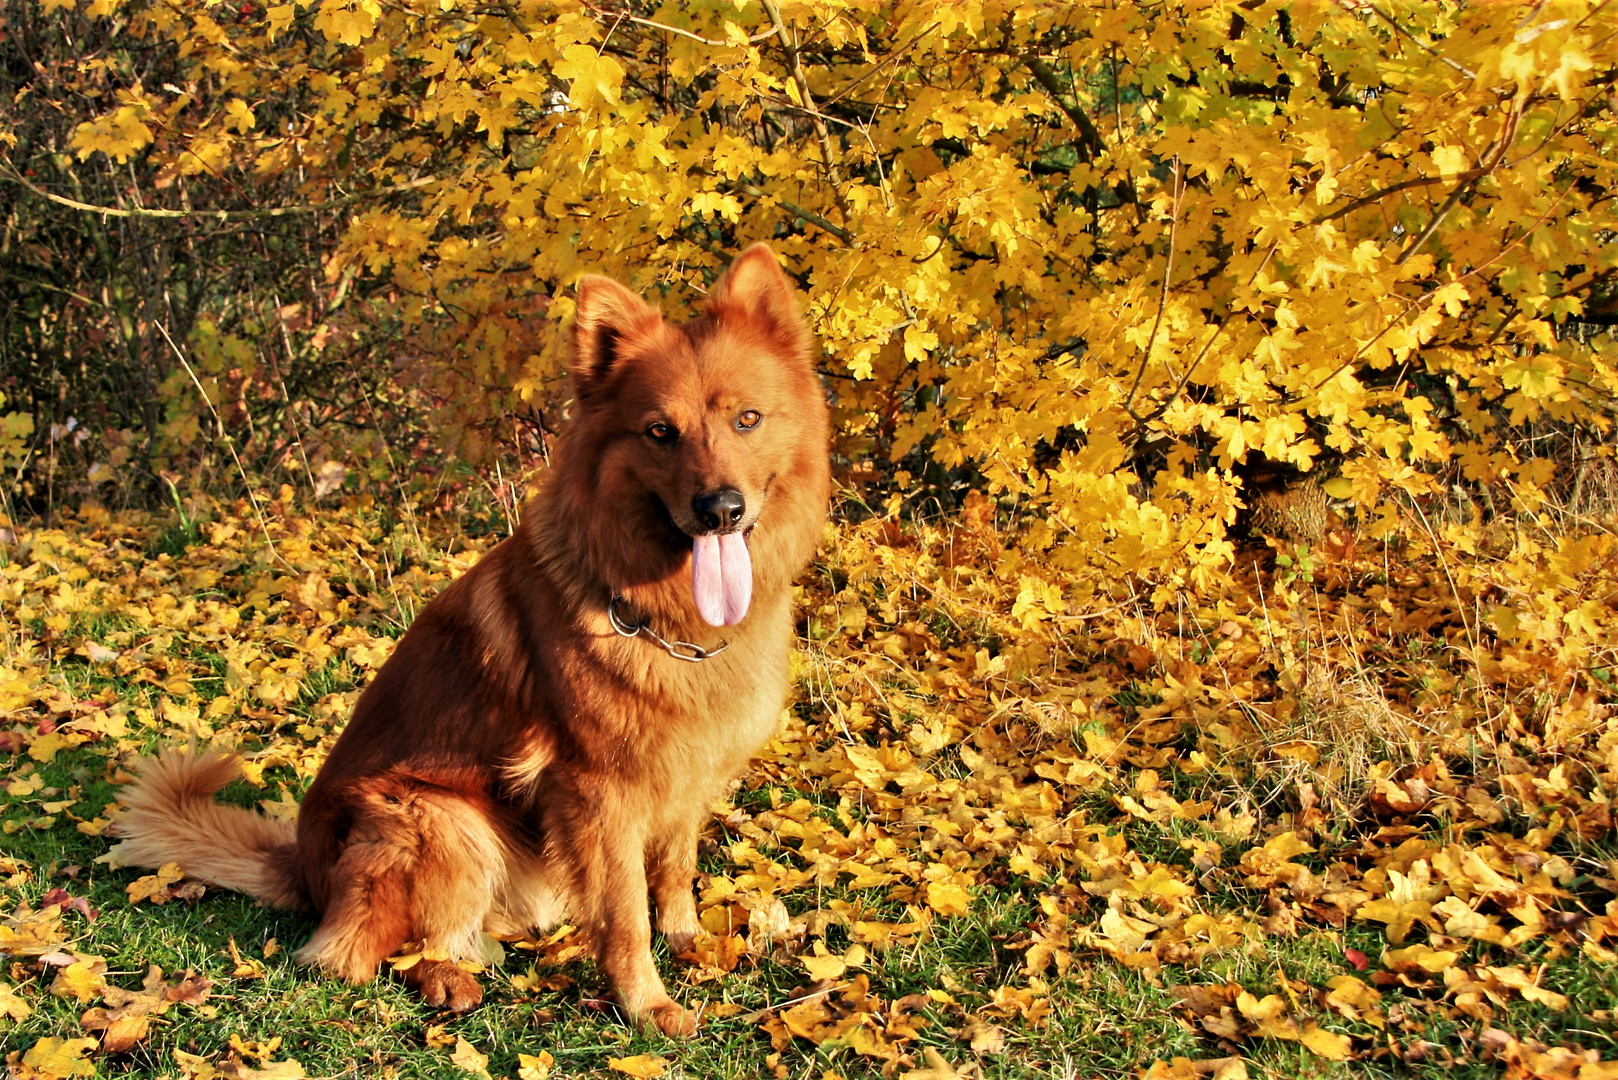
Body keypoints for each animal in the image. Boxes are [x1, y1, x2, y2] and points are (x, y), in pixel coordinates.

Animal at [110, 247, 834, 1036]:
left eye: (747, 419)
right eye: (659, 432)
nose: (720, 509)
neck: (665, 614)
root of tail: (306, 869)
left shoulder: (686, 774)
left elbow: (671, 873)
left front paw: (689, 942)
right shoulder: (599, 793)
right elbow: (625, 911)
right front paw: (645, 1002)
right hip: (440, 818)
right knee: (358, 953)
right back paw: (443, 978)